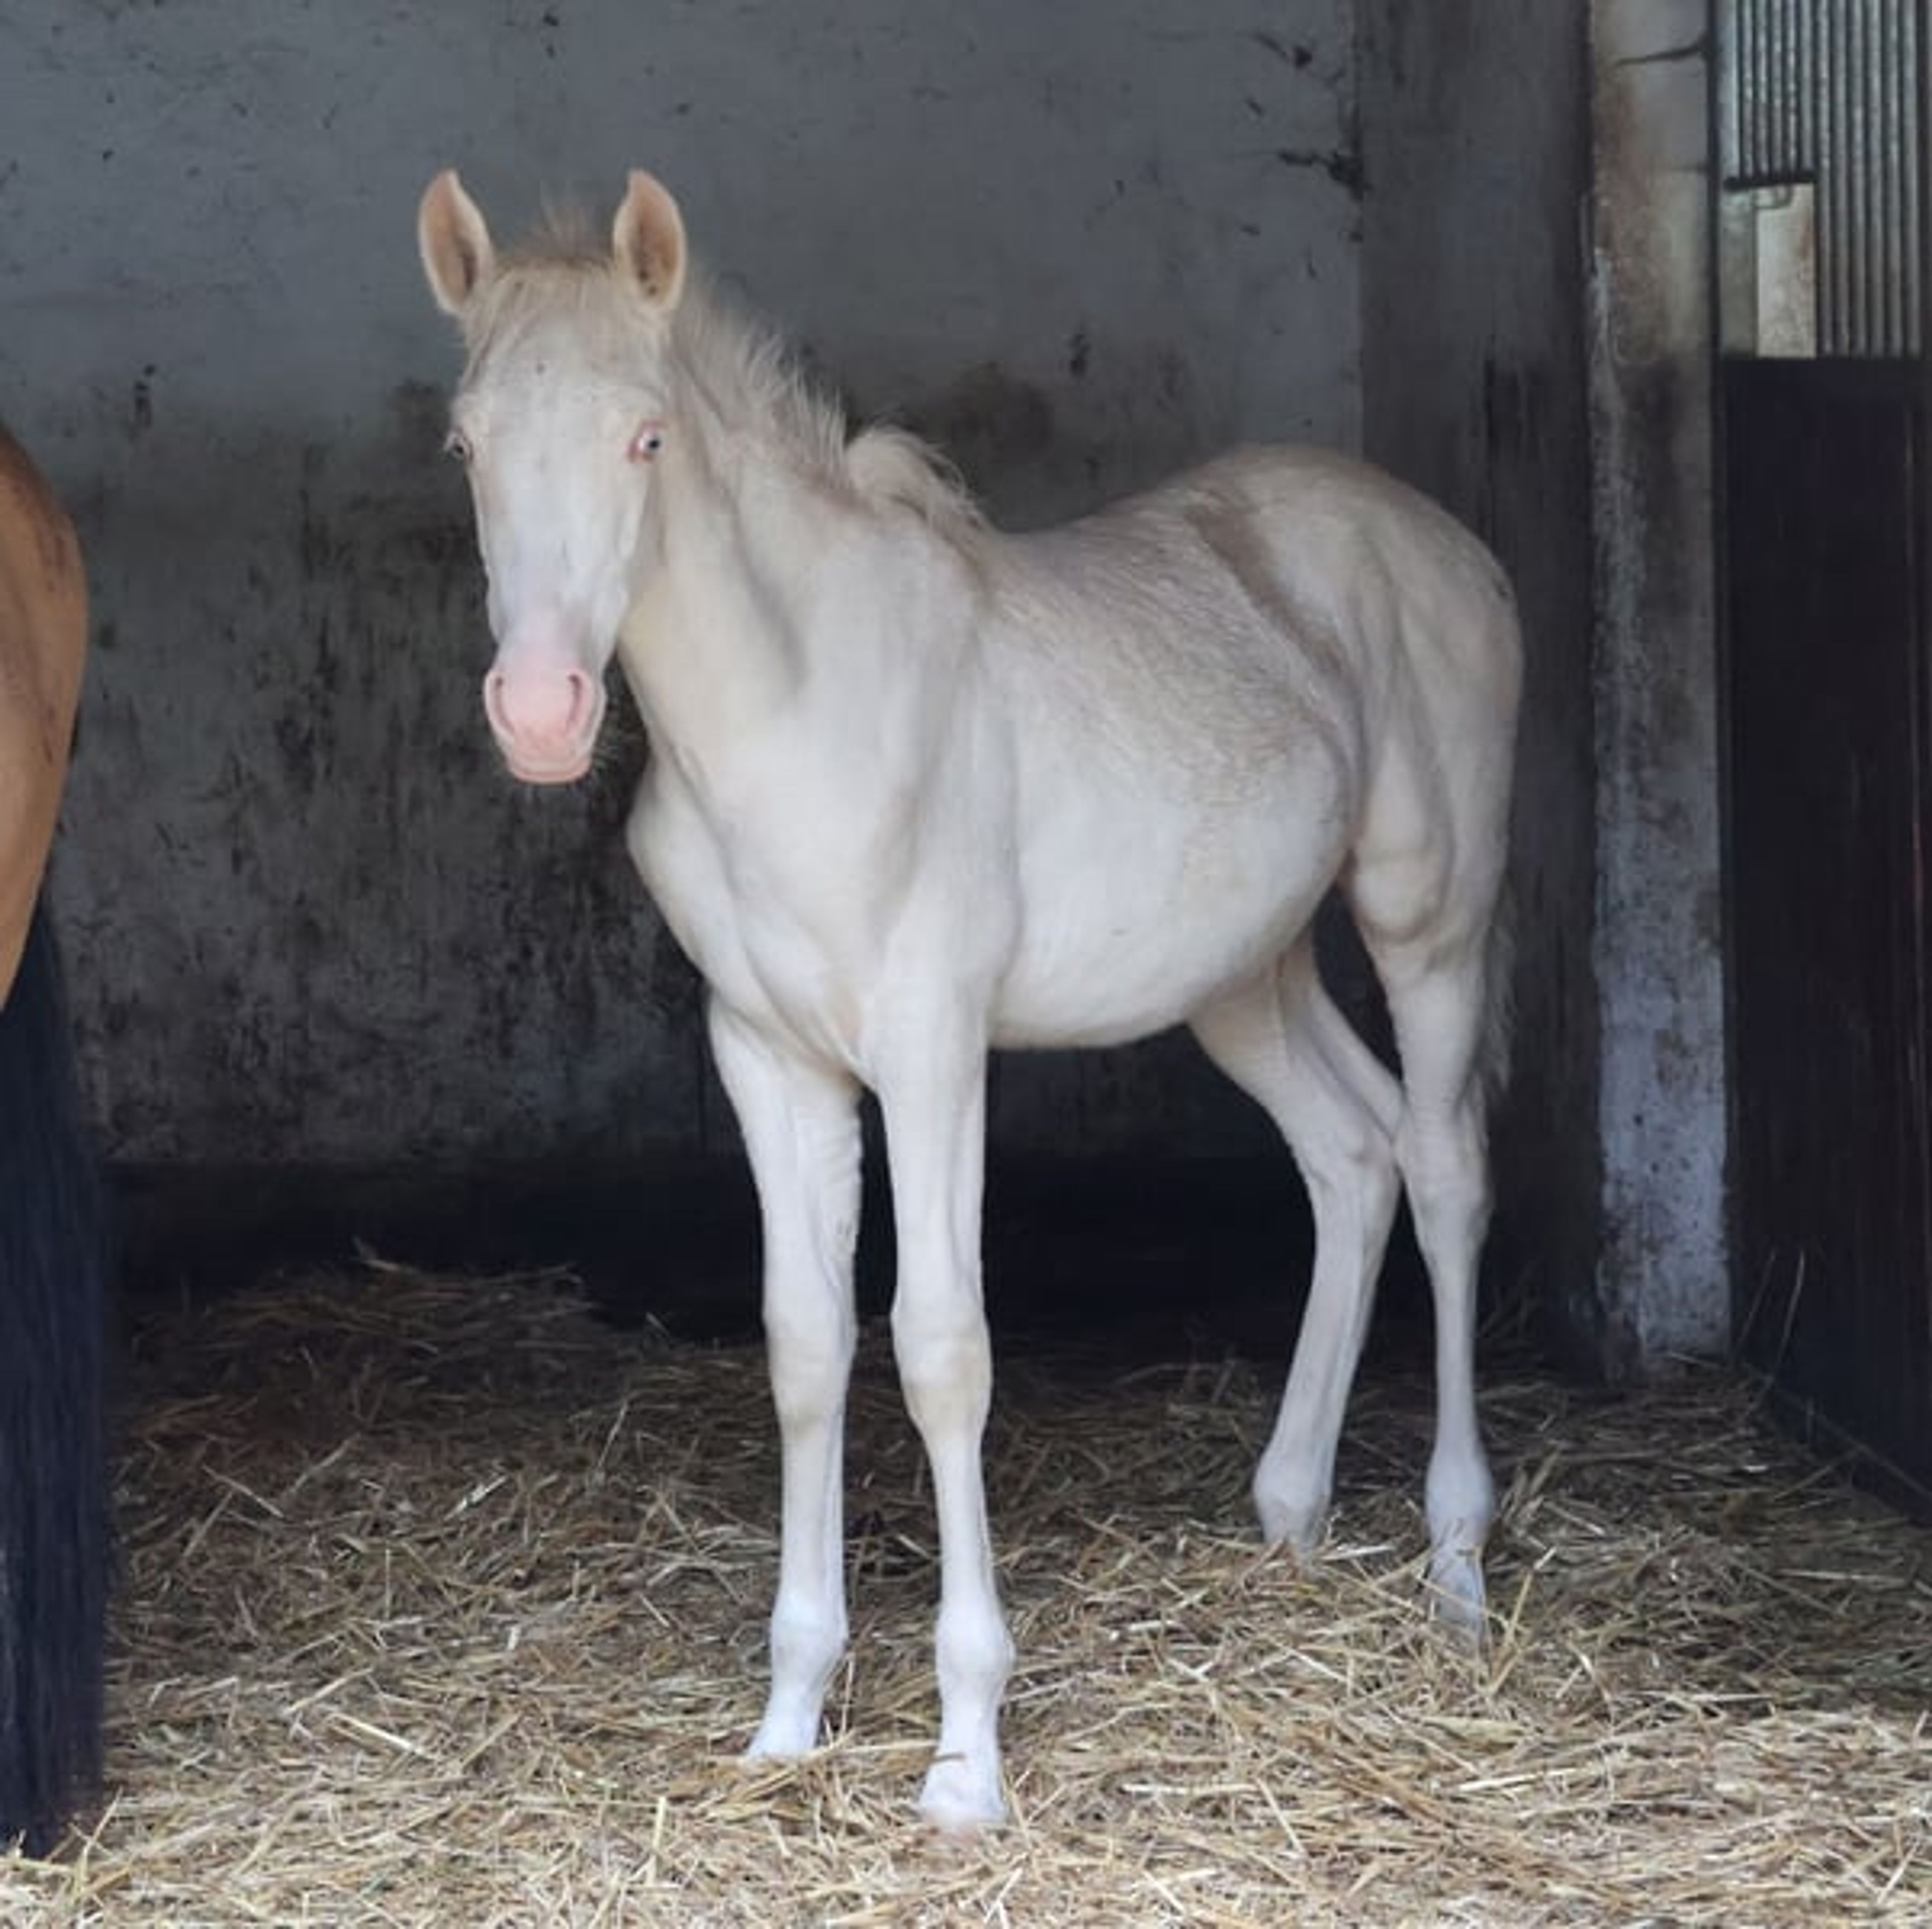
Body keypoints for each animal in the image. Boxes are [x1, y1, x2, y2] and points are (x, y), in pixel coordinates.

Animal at [418, 169, 1521, 1831]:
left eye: (646, 437)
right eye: (467, 443)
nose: (542, 714)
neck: (790, 712)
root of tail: (1456, 548)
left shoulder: (933, 1049)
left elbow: (941, 1348)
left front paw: (964, 1759)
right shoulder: (768, 1056)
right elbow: (806, 1344)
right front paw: (788, 1715)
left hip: (1424, 915)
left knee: (1446, 1170)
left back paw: (1455, 1565)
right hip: (1238, 973)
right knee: (1353, 1155)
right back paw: (1290, 1514)